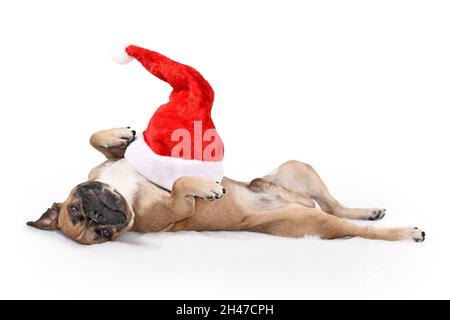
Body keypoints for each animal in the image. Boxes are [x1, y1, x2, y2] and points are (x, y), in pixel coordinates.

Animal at [27, 126, 426, 244]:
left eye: (76, 206)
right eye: (101, 235)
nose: (97, 213)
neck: (123, 191)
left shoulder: (109, 163)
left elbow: (97, 139)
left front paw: (118, 134)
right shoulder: (176, 207)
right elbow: (180, 187)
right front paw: (206, 188)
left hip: (298, 168)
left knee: (334, 204)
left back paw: (369, 210)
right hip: (314, 220)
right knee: (345, 223)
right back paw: (404, 232)